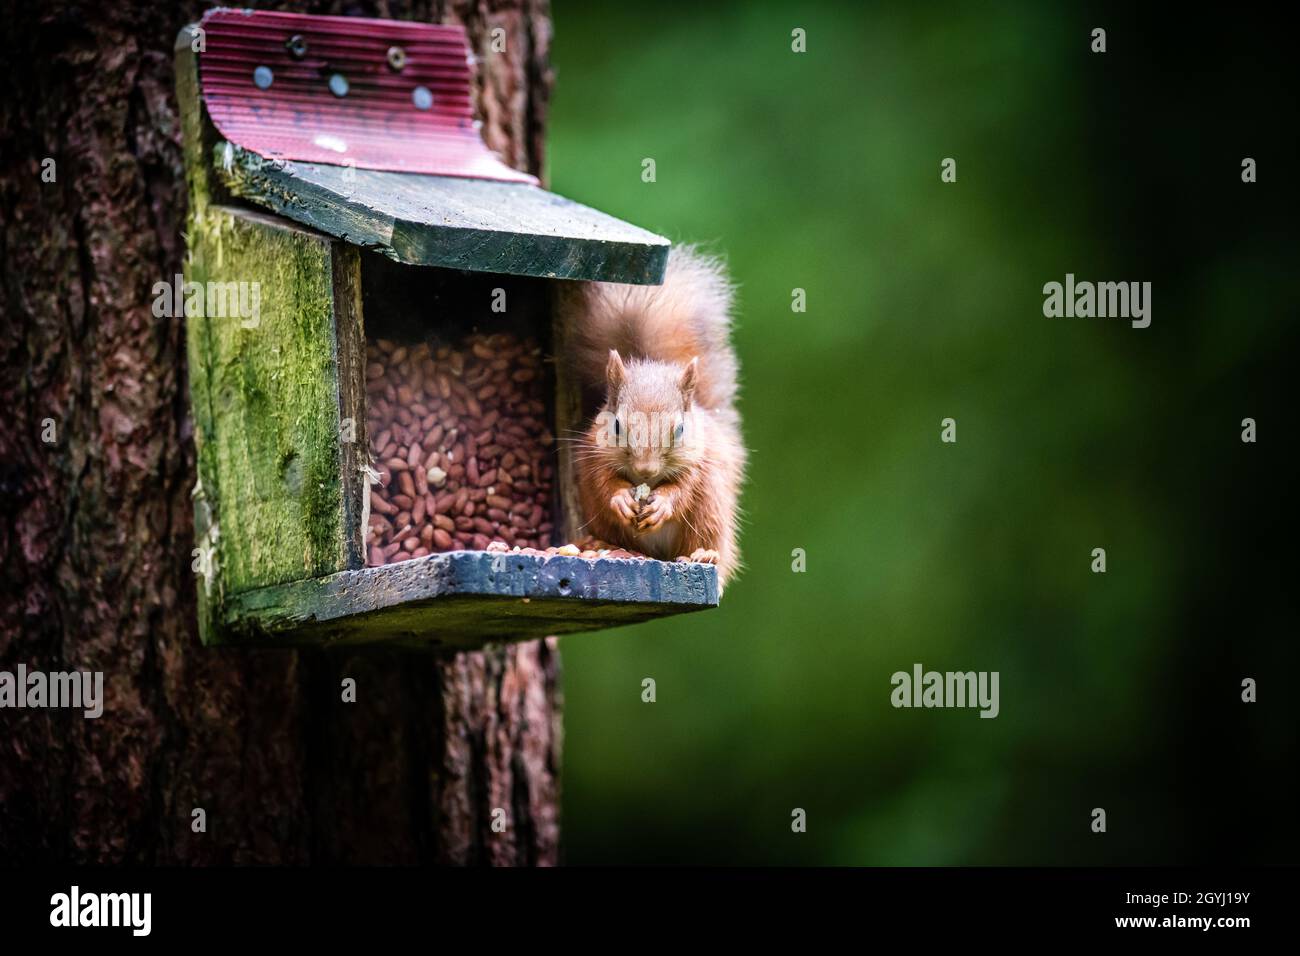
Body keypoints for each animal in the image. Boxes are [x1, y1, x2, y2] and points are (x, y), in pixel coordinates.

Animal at [558, 245, 745, 589]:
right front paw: (620, 497)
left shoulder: (699, 461)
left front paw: (663, 504)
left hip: (710, 512)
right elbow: (604, 481)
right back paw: (599, 543)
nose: (646, 470)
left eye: (681, 429)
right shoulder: (594, 453)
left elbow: (684, 487)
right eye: (617, 425)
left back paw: (704, 555)